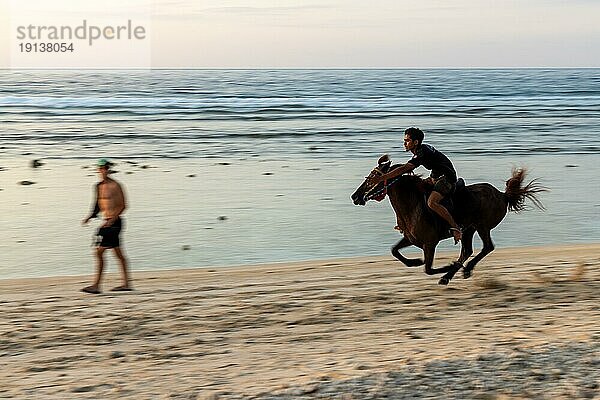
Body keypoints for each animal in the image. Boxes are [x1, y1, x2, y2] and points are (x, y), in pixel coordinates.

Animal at [350, 155, 548, 284]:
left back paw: (459, 270)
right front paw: (415, 262)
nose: (355, 196)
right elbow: (394, 251)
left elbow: (428, 269)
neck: (412, 205)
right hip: (468, 229)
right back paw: (455, 272)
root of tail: (503, 195)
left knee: (486, 247)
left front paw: (445, 266)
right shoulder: (410, 238)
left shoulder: (430, 243)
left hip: (481, 226)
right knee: (467, 250)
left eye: (372, 179)